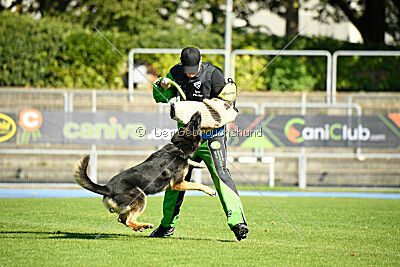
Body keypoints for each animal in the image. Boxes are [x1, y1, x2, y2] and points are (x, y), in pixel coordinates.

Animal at [74, 112, 216, 231]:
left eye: (189, 123)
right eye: (193, 123)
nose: (198, 112)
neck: (179, 147)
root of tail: (107, 188)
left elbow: (189, 162)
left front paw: (197, 164)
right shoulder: (178, 184)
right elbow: (197, 184)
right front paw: (210, 190)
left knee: (122, 219)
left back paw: (138, 227)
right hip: (140, 195)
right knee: (129, 220)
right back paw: (144, 225)